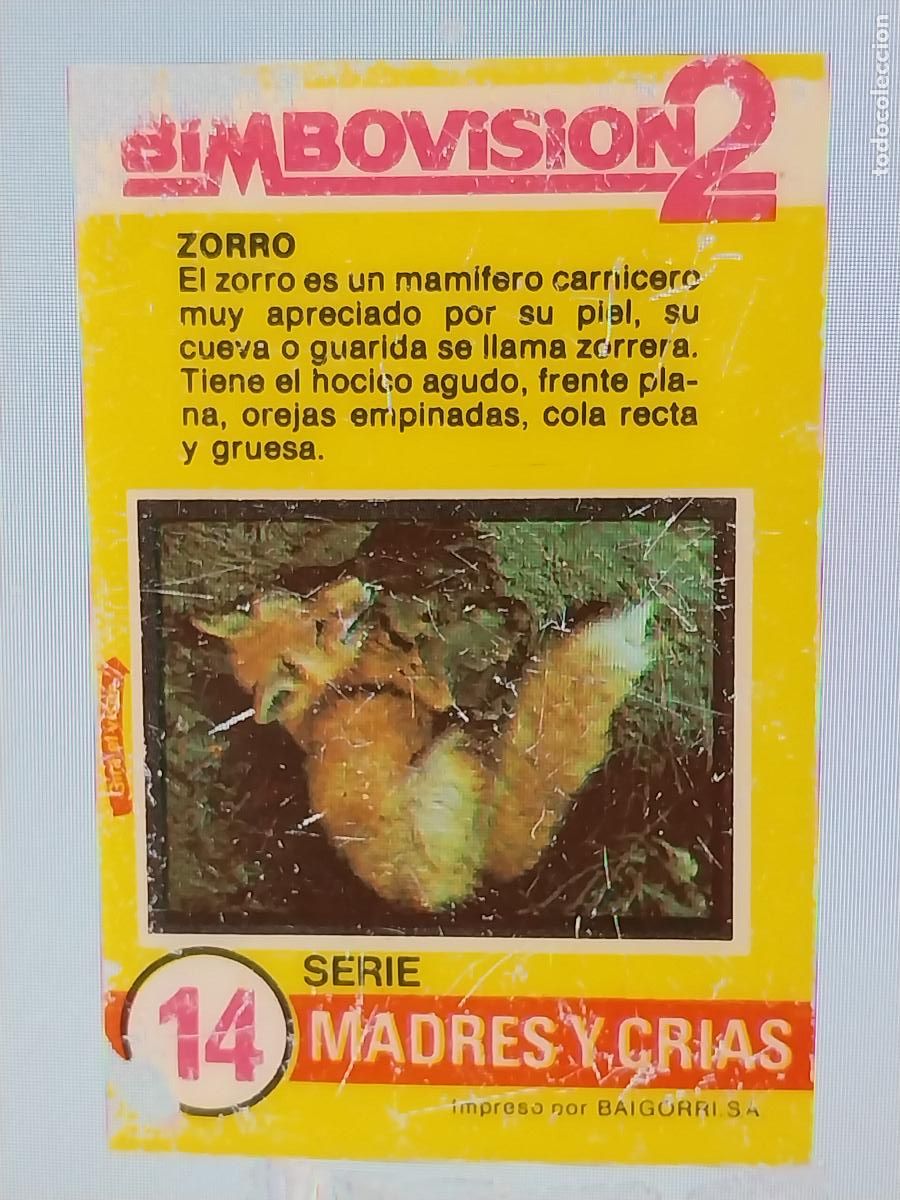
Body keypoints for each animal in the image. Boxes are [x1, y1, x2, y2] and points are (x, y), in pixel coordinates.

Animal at [195, 577, 654, 911]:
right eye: (320, 627)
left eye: (308, 606)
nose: (357, 582)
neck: (336, 691)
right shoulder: (434, 689)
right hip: (447, 765)